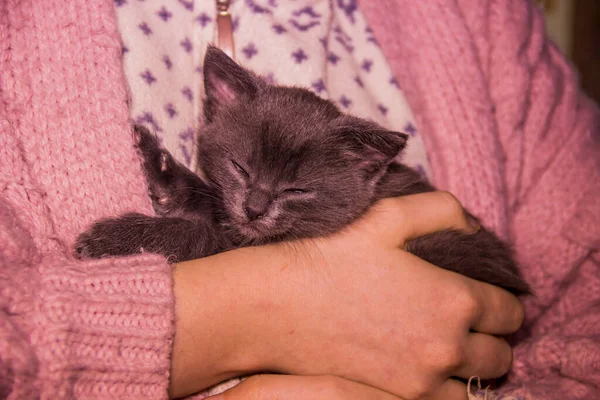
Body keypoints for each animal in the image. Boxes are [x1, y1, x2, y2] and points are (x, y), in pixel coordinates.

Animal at [76, 47, 528, 296]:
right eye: (240, 166)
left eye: (296, 190)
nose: (255, 208)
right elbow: (207, 196)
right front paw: (151, 157)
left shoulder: (241, 243)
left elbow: (198, 235)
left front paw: (114, 239)